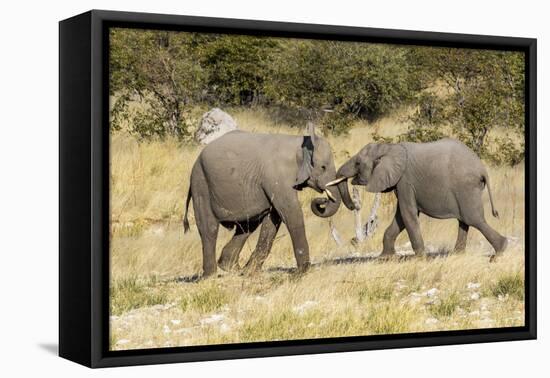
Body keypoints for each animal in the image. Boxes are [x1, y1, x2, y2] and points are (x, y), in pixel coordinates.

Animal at [183, 122, 356, 276]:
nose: (321, 200)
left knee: (246, 226)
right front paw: (302, 272)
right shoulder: (277, 176)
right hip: (201, 183)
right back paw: (211, 275)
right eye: (323, 167)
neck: (300, 143)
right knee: (209, 228)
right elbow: (291, 214)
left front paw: (251, 273)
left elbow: (273, 220)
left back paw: (233, 269)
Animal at [328, 137, 508, 258]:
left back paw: (499, 252)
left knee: (473, 219)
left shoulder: (405, 181)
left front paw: (420, 258)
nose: (354, 205)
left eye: (358, 163)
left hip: (465, 187)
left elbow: (408, 214)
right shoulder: (401, 183)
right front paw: (385, 258)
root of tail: (482, 169)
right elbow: (400, 217)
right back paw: (456, 254)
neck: (389, 148)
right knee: (464, 221)